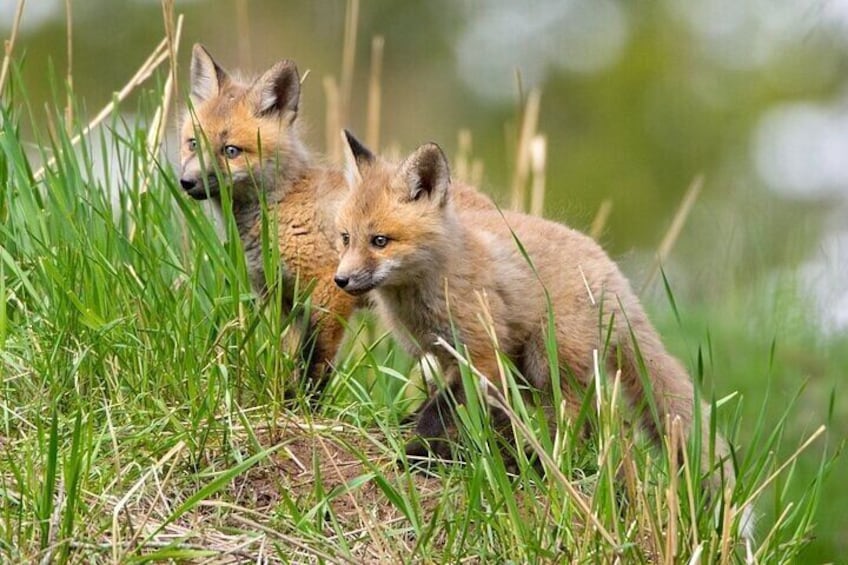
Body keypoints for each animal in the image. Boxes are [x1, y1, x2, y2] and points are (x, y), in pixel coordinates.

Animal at [179, 45, 494, 389]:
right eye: (192, 144)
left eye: (231, 151)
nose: (186, 182)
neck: (282, 206)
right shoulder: (283, 300)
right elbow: (288, 359)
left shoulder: (329, 288)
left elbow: (315, 362)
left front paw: (302, 400)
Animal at [334, 131, 753, 536]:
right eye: (345, 238)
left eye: (380, 241)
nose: (341, 280)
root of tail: (616, 278)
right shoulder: (439, 355)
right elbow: (437, 405)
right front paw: (417, 436)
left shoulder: (481, 354)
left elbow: (443, 413)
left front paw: (418, 453)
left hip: (547, 361)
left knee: (581, 427)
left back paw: (541, 466)